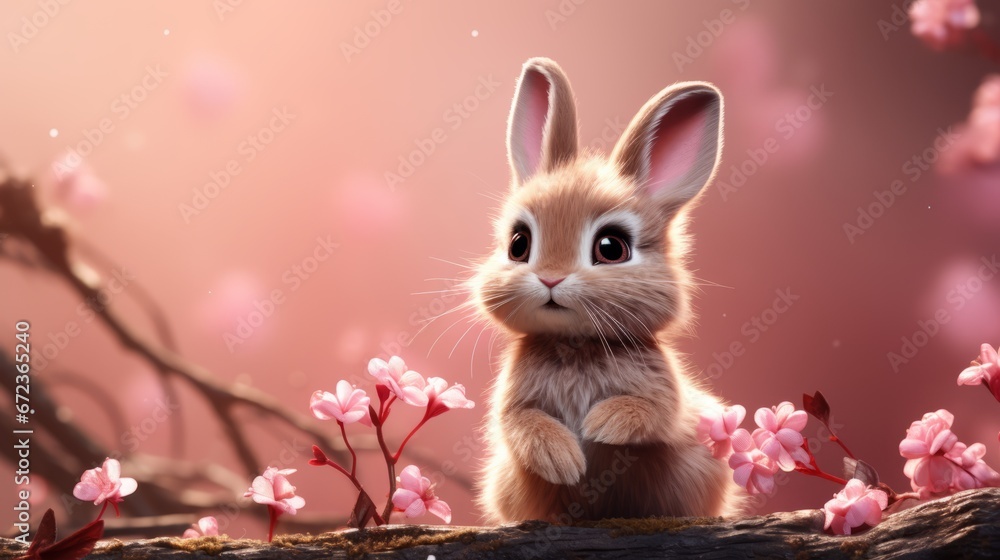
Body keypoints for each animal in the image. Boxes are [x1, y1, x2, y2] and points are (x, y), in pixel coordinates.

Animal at [474, 57, 741, 523]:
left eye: (612, 247)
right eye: (518, 244)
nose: (551, 278)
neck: (577, 346)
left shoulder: (664, 394)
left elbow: (653, 413)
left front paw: (601, 425)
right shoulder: (515, 404)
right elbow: (523, 424)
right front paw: (563, 459)